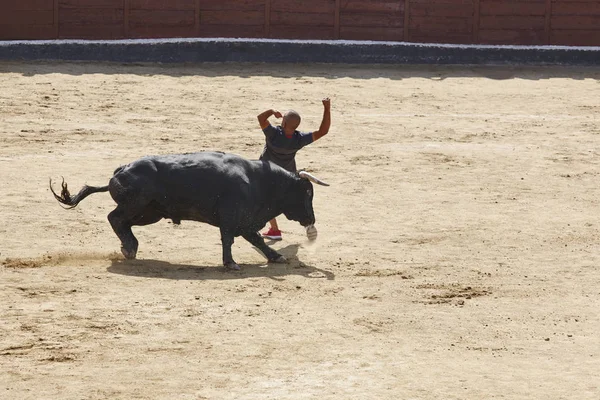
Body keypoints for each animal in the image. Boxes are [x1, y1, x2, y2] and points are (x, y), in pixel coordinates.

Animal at [49, 152, 330, 270]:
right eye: (307, 193)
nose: (311, 219)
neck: (259, 180)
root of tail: (119, 171)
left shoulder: (244, 221)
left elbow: (257, 240)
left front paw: (276, 257)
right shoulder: (232, 218)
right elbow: (230, 239)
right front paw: (231, 264)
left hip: (151, 213)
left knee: (122, 222)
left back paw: (130, 247)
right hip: (138, 205)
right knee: (114, 217)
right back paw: (129, 248)